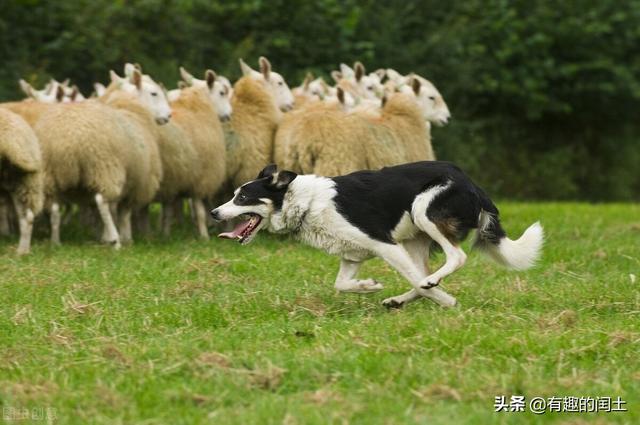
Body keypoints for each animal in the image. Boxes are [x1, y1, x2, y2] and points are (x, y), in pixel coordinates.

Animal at [212, 161, 544, 306]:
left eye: (242, 198)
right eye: (234, 196)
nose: (215, 213)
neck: (305, 203)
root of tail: (472, 183)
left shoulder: (385, 245)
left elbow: (415, 279)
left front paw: (447, 301)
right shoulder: (352, 255)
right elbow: (341, 284)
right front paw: (368, 286)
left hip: (423, 211)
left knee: (453, 259)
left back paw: (432, 287)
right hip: (415, 239)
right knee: (423, 273)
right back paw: (400, 300)